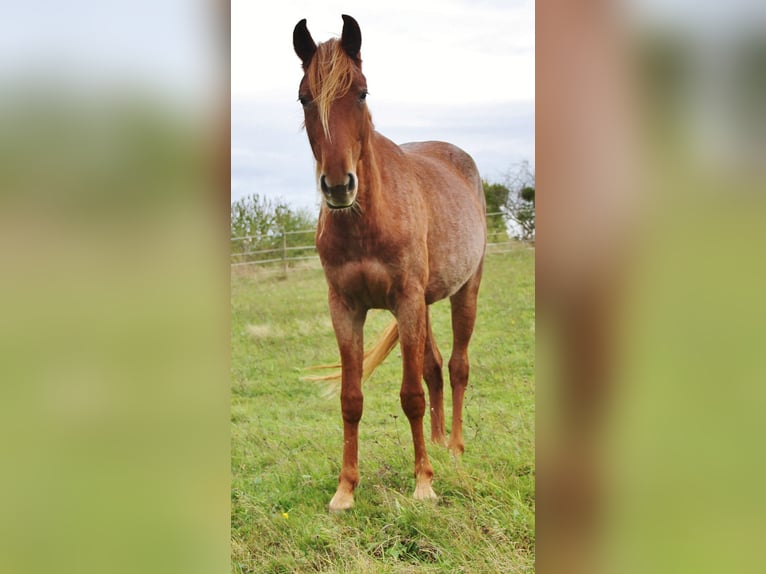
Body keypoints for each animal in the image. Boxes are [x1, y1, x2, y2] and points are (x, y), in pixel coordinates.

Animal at [293, 14, 486, 511]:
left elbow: (411, 395)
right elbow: (351, 398)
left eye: (361, 93)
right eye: (305, 98)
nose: (338, 186)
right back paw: (437, 441)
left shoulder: (405, 300)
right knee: (434, 366)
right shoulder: (346, 308)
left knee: (457, 366)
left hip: (463, 291)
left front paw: (424, 483)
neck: (367, 221)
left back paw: (454, 449)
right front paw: (345, 490)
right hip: (425, 304)